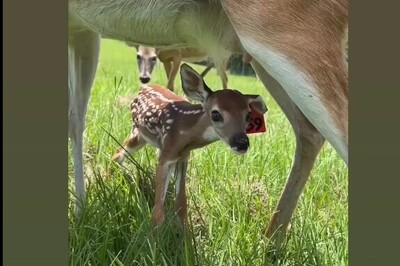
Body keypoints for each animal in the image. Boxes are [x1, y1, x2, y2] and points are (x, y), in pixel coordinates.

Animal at [112, 64, 268, 227]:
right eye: (216, 114)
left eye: (248, 115)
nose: (241, 142)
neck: (185, 131)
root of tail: (142, 87)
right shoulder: (167, 155)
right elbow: (158, 211)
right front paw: (152, 233)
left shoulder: (183, 157)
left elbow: (181, 205)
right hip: (138, 133)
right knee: (117, 154)